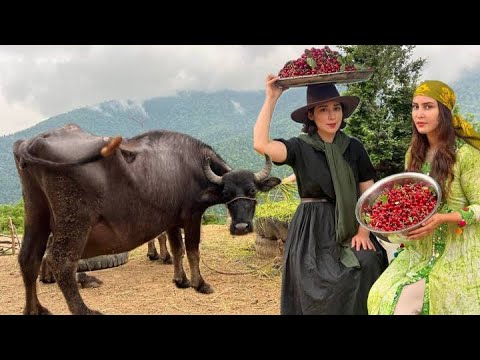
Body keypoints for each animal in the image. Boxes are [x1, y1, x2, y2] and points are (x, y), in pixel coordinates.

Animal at [14, 124, 282, 316]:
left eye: (252, 191)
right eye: (226, 193)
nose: (241, 227)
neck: (192, 166)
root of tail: (32, 141)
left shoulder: (173, 221)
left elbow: (177, 249)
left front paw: (180, 280)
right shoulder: (191, 216)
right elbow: (193, 250)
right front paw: (200, 284)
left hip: (35, 212)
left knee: (28, 257)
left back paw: (35, 309)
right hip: (75, 220)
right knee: (61, 260)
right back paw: (84, 310)